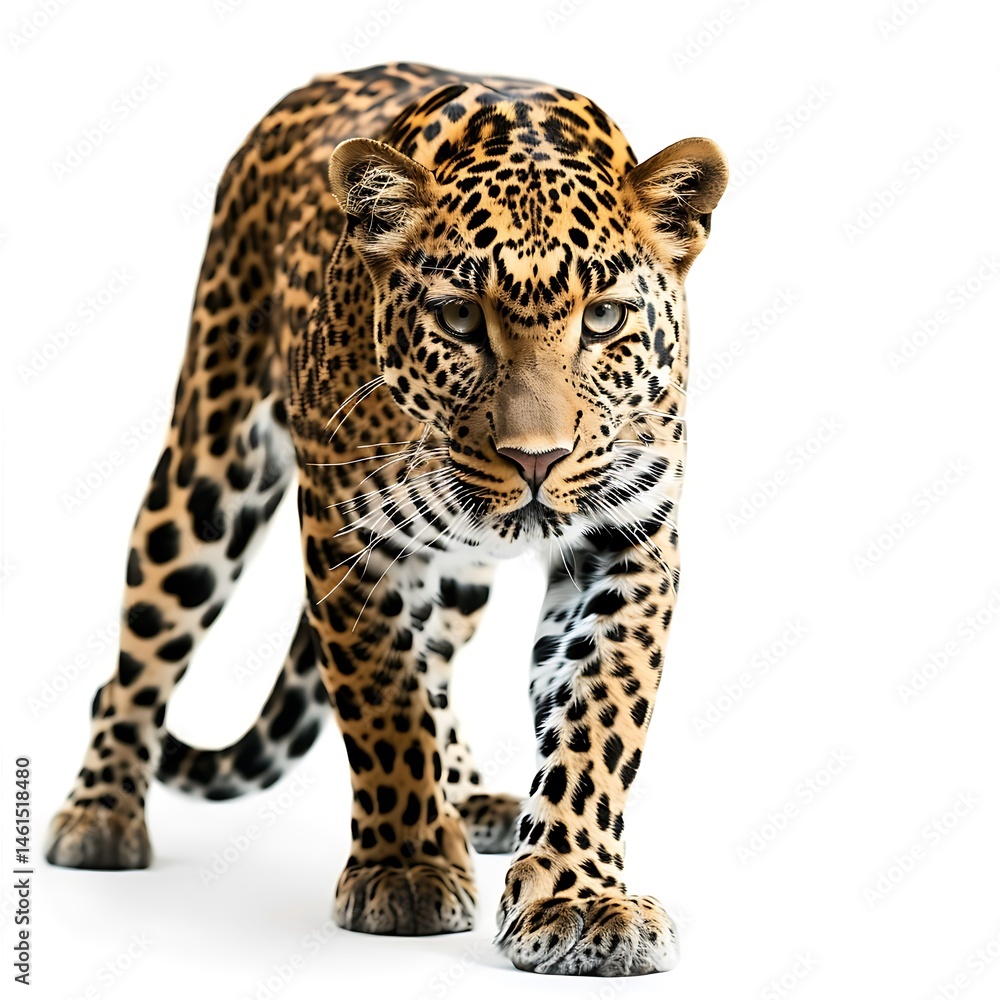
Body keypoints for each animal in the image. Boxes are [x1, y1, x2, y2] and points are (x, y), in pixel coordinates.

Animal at [45, 61, 727, 976]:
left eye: (604, 318)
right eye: (460, 319)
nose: (537, 460)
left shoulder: (629, 541)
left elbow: (597, 719)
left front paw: (580, 899)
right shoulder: (349, 538)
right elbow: (386, 702)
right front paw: (405, 868)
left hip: (459, 577)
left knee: (439, 656)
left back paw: (472, 799)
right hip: (207, 471)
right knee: (143, 647)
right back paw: (101, 813)